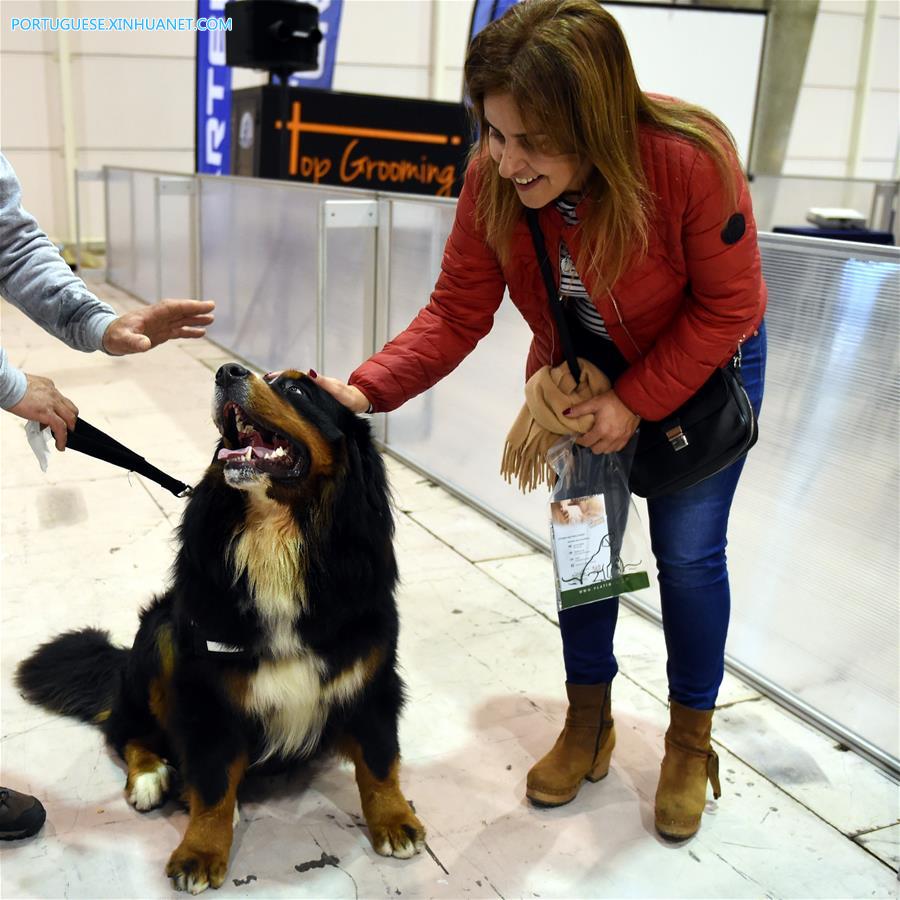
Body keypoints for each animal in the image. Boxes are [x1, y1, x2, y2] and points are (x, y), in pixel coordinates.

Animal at [16, 364, 426, 892]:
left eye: (296, 388)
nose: (227, 370)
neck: (277, 534)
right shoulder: (208, 689)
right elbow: (212, 782)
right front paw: (201, 850)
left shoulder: (369, 671)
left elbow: (379, 760)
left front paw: (394, 821)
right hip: (160, 635)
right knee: (126, 729)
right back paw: (151, 776)